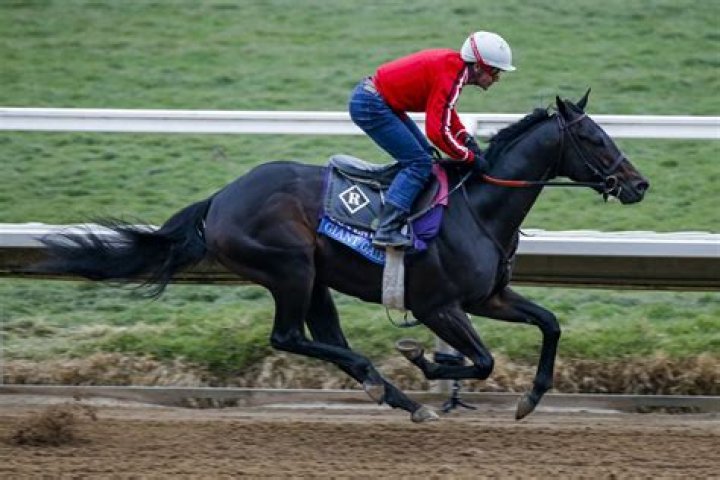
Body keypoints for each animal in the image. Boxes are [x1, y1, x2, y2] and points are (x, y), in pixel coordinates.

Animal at [37, 91, 649, 422]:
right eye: (593, 139)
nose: (638, 184)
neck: (479, 207)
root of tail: (221, 199)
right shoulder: (438, 306)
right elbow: (481, 360)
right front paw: (423, 359)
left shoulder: (489, 296)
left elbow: (549, 323)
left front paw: (530, 399)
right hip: (290, 267)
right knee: (289, 336)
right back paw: (384, 380)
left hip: (314, 278)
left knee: (325, 337)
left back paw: (395, 394)